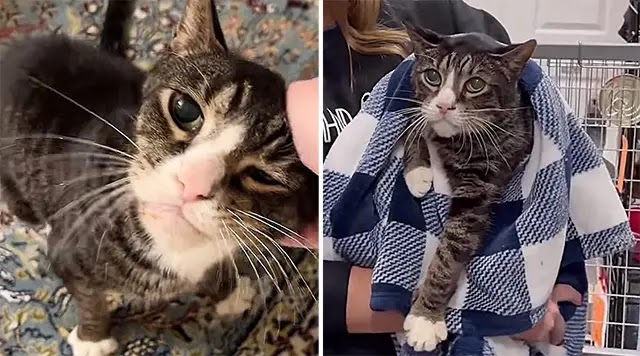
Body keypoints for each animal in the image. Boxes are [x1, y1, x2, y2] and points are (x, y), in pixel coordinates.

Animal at [0, 1, 318, 354]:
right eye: (184, 109)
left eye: (264, 175)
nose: (193, 183)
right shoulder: (68, 250)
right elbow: (89, 300)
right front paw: (92, 339)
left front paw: (230, 293)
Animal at [402, 26, 536, 352]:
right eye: (432, 76)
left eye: (476, 84)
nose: (443, 105)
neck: (453, 143)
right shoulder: (413, 96)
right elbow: (413, 119)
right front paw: (418, 172)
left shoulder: (479, 189)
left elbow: (451, 250)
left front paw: (425, 318)